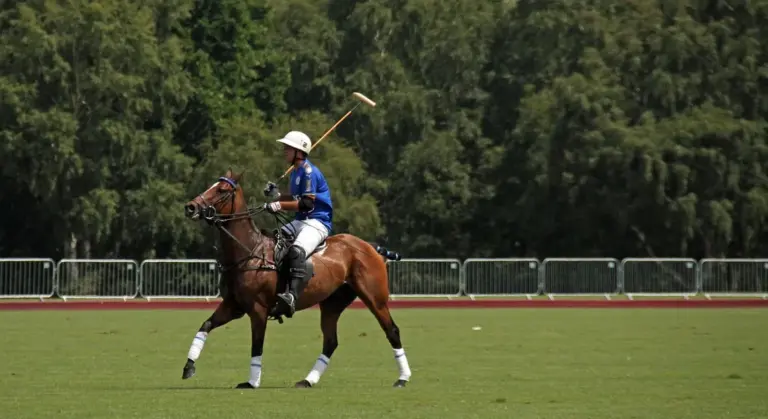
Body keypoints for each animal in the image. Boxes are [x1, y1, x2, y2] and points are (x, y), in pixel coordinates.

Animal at [180, 168, 412, 388]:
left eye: (222, 190)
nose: (190, 207)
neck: (249, 252)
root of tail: (370, 247)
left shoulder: (258, 309)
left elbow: (257, 345)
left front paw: (252, 382)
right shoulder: (233, 305)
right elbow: (205, 326)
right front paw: (188, 366)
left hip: (374, 297)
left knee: (391, 330)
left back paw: (403, 378)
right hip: (332, 303)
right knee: (330, 341)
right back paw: (308, 380)